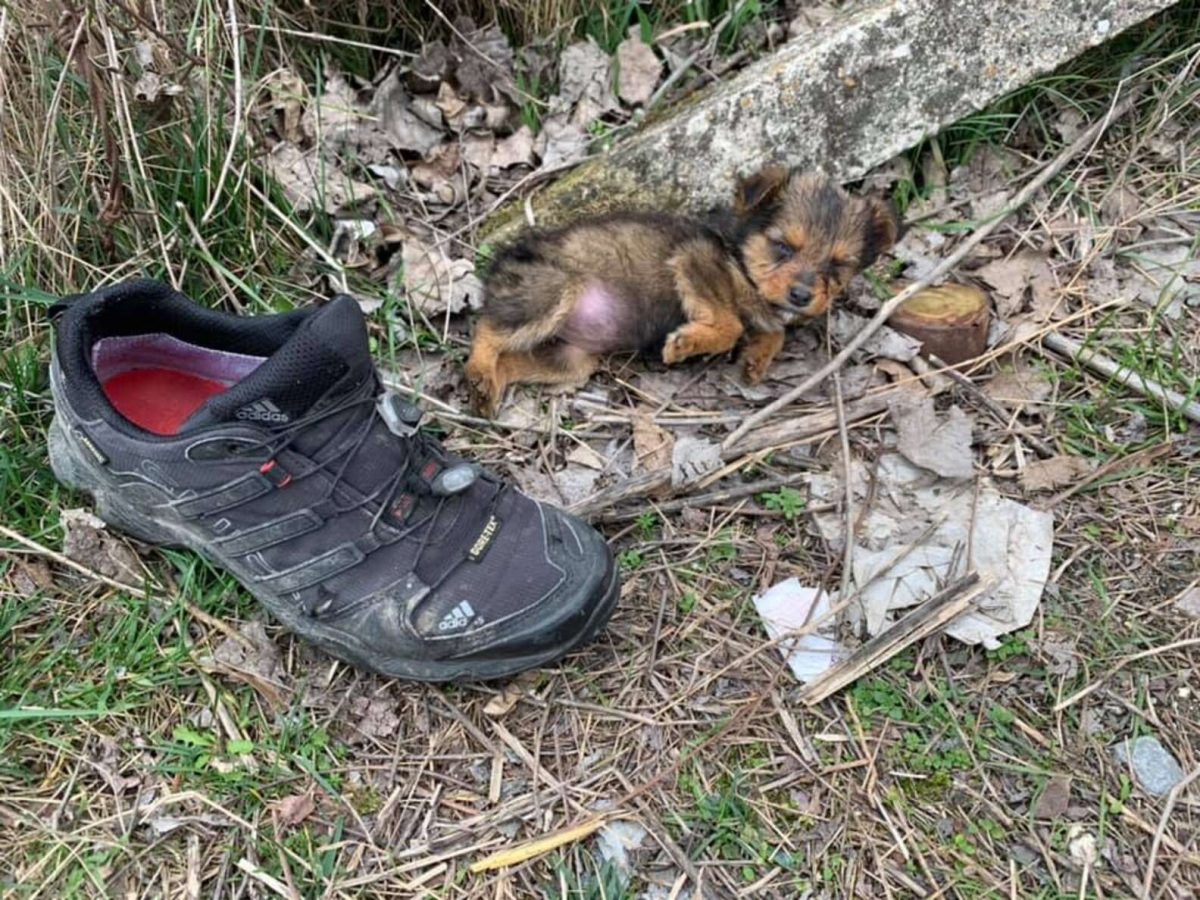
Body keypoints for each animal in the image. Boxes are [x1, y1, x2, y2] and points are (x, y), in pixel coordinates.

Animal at [463, 168, 897, 417]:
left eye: (837, 266)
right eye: (783, 247)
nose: (802, 296)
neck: (740, 253)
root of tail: (500, 263)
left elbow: (771, 330)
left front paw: (756, 360)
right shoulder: (696, 262)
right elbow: (730, 324)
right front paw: (687, 343)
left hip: (569, 359)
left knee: (512, 358)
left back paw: (488, 388)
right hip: (552, 290)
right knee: (487, 328)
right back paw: (480, 371)